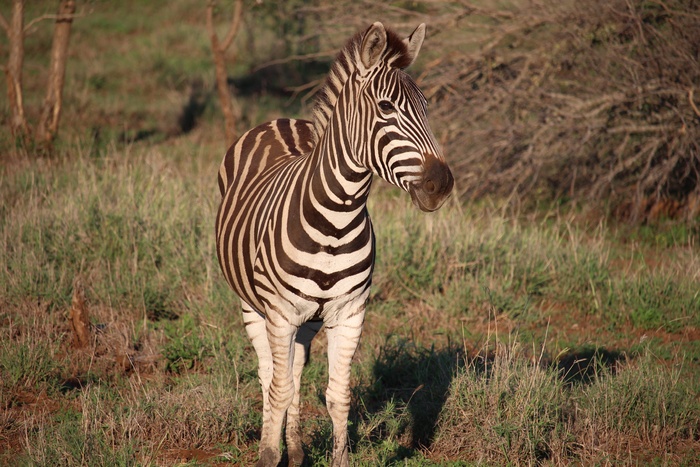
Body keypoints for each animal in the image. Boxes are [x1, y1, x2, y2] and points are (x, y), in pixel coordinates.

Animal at [215, 21, 454, 464]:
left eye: (427, 106)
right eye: (385, 108)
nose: (441, 184)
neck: (336, 218)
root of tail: (279, 119)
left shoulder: (350, 313)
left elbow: (338, 397)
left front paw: (331, 454)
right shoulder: (279, 314)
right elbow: (277, 391)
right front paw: (269, 454)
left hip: (308, 320)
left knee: (293, 371)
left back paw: (296, 449)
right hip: (253, 306)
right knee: (269, 375)